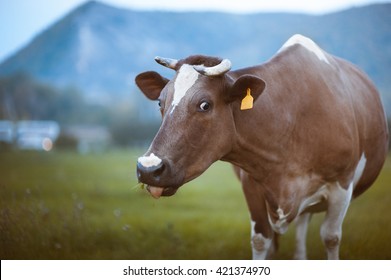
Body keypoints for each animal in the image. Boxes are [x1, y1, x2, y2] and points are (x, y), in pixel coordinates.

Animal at [136, 34, 388, 260]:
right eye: (160, 102)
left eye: (204, 104)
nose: (148, 168)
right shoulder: (251, 184)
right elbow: (260, 240)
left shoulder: (341, 185)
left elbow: (331, 237)